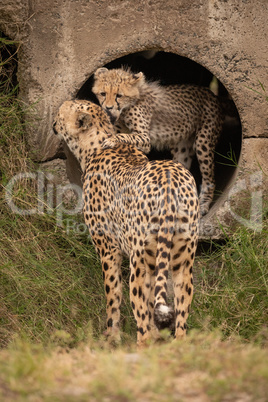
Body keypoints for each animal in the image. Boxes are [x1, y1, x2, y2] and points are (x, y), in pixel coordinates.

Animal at [52, 99, 199, 348]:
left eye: (61, 111)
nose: (52, 122)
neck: (95, 145)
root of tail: (170, 177)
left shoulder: (108, 250)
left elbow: (113, 295)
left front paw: (112, 336)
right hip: (182, 260)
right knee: (180, 313)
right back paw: (178, 345)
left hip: (139, 263)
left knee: (140, 313)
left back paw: (141, 347)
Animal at [93, 66, 223, 217]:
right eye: (103, 93)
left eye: (118, 95)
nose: (108, 108)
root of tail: (211, 93)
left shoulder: (144, 138)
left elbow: (125, 137)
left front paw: (110, 141)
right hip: (182, 148)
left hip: (203, 143)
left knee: (209, 178)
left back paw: (203, 205)